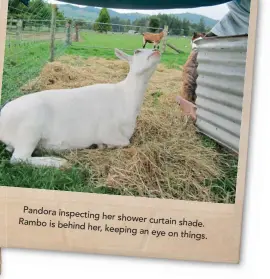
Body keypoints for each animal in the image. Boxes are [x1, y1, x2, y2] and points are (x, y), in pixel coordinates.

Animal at [0, 48, 160, 168]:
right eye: (137, 51)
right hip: (29, 129)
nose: (156, 50)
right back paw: (59, 162)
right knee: (19, 159)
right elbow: (125, 142)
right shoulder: (107, 130)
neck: (125, 98)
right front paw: (103, 145)